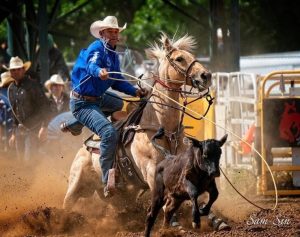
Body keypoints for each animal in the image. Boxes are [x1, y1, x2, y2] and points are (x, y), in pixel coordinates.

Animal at [62, 32, 213, 211]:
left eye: (192, 56)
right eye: (179, 59)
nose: (206, 76)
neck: (163, 126)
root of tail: (84, 147)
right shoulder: (151, 171)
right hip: (75, 183)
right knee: (67, 203)